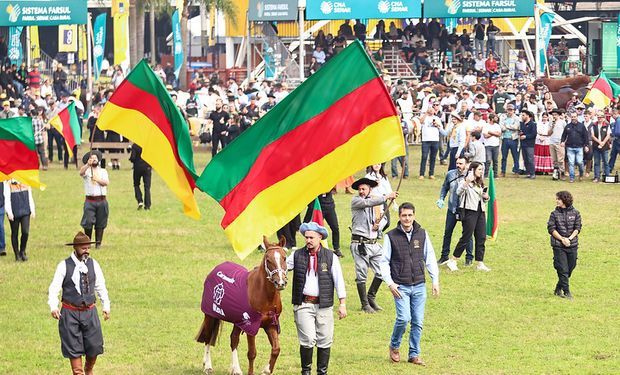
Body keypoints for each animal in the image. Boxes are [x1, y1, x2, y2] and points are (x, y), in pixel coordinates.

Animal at [196, 238, 288, 375]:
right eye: (268, 260)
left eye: (284, 258)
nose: (280, 282)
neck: (265, 295)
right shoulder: (251, 327)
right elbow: (252, 353)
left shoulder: (270, 324)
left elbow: (276, 349)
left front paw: (266, 370)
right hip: (210, 315)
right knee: (208, 337)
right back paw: (207, 366)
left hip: (237, 321)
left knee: (233, 339)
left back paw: (236, 369)